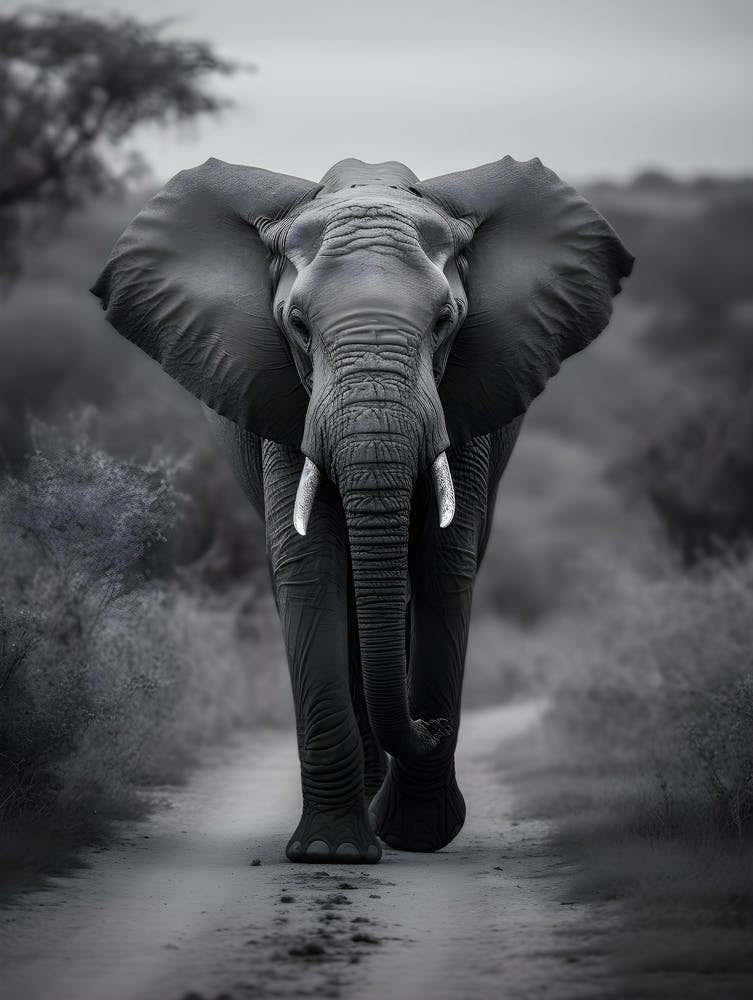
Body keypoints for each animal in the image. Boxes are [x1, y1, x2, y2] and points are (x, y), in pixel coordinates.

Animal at [92, 155, 633, 864]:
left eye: (446, 321)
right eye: (296, 324)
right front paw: (331, 853)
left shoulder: (470, 395)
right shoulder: (281, 397)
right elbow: (310, 566)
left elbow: (443, 563)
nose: (431, 723)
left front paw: (418, 835)